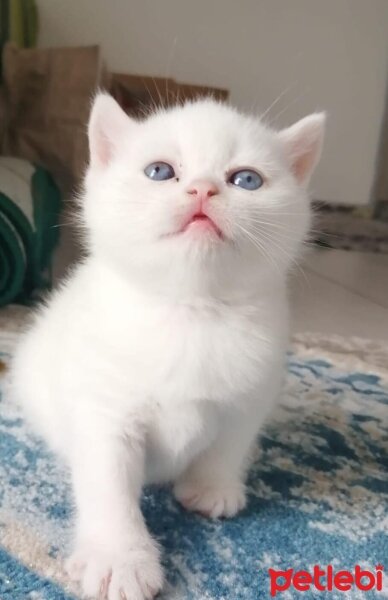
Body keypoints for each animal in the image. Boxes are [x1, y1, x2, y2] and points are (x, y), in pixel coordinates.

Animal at [10, 96, 324, 596]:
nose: (202, 190)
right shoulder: (104, 407)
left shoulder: (255, 389)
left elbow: (230, 443)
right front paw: (119, 559)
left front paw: (211, 488)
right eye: (159, 171)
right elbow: (109, 485)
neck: (191, 311)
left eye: (247, 180)